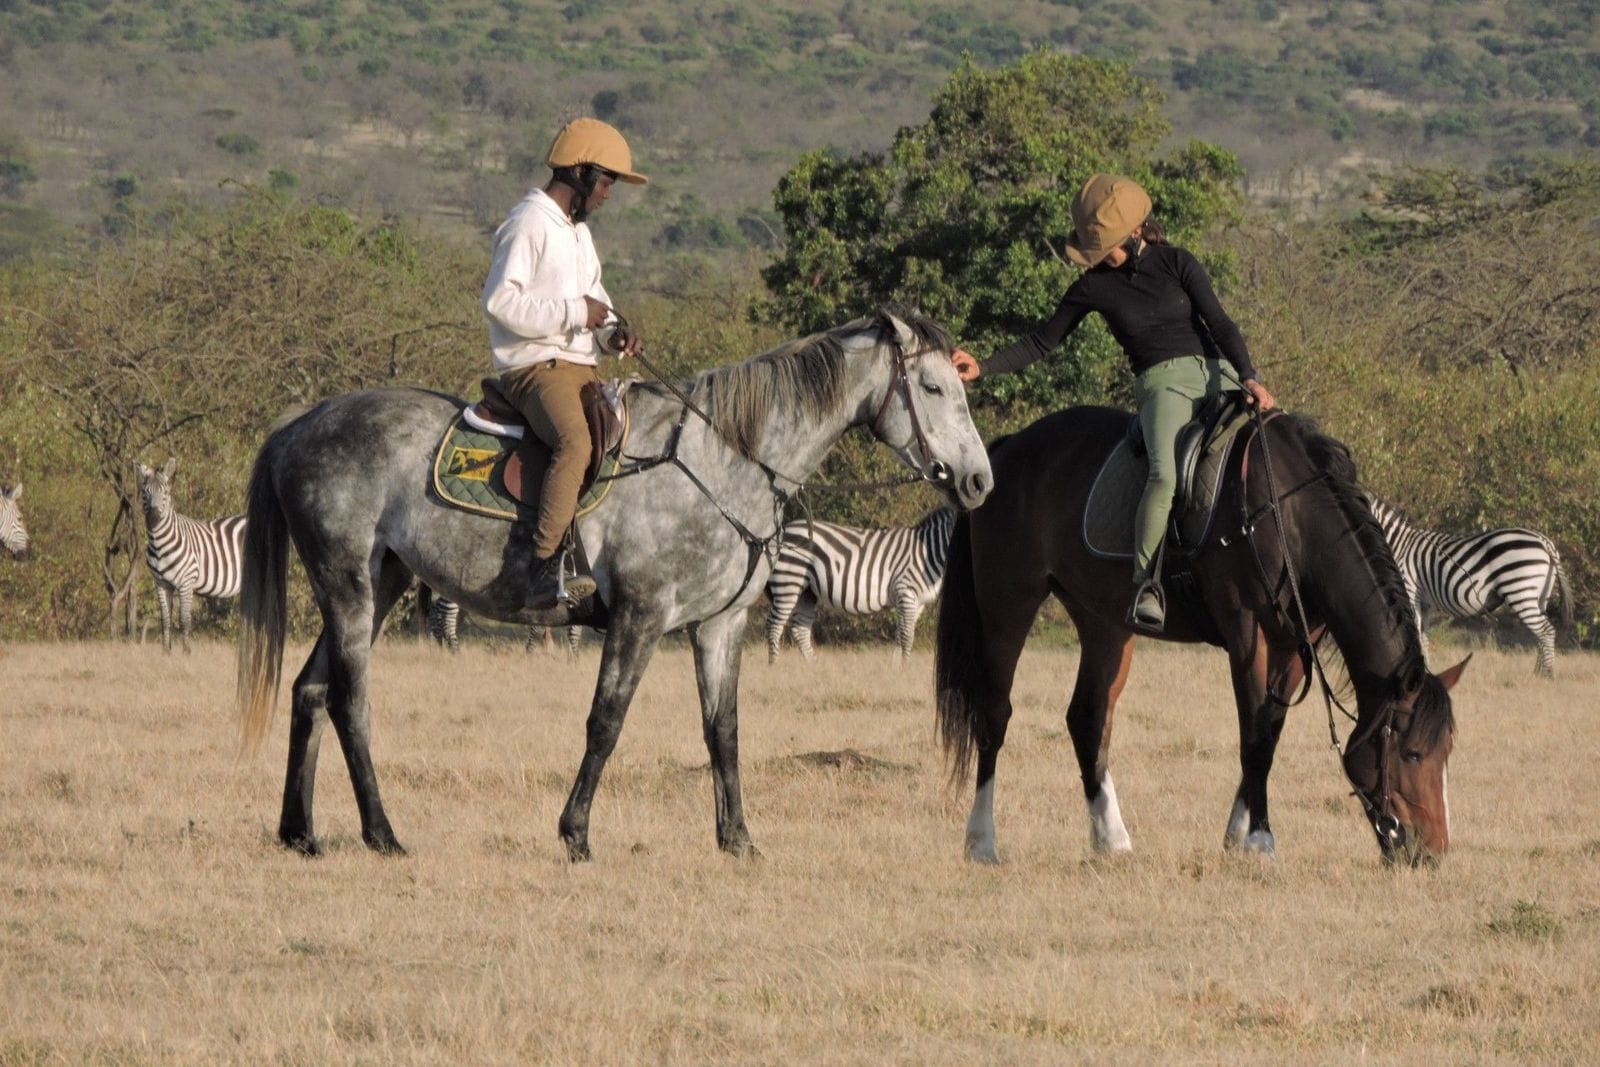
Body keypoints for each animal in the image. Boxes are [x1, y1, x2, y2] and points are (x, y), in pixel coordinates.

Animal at [237, 307, 992, 860]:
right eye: (932, 388)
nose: (978, 480)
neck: (723, 460)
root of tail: (302, 424)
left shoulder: (719, 625)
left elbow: (723, 730)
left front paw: (738, 840)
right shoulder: (641, 615)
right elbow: (606, 721)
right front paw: (575, 834)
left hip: (379, 582)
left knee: (309, 692)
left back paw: (300, 833)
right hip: (349, 586)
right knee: (349, 701)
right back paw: (382, 833)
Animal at [936, 406, 1467, 868]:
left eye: (1447, 755)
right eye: (1413, 753)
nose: (1433, 851)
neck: (1289, 515)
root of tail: (1010, 448)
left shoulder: (1295, 644)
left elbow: (1269, 731)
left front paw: (1238, 834)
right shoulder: (1248, 634)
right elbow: (1254, 735)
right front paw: (1260, 840)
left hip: (1103, 621)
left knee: (1088, 719)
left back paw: (1111, 839)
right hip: (1008, 605)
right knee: (995, 715)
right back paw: (982, 841)